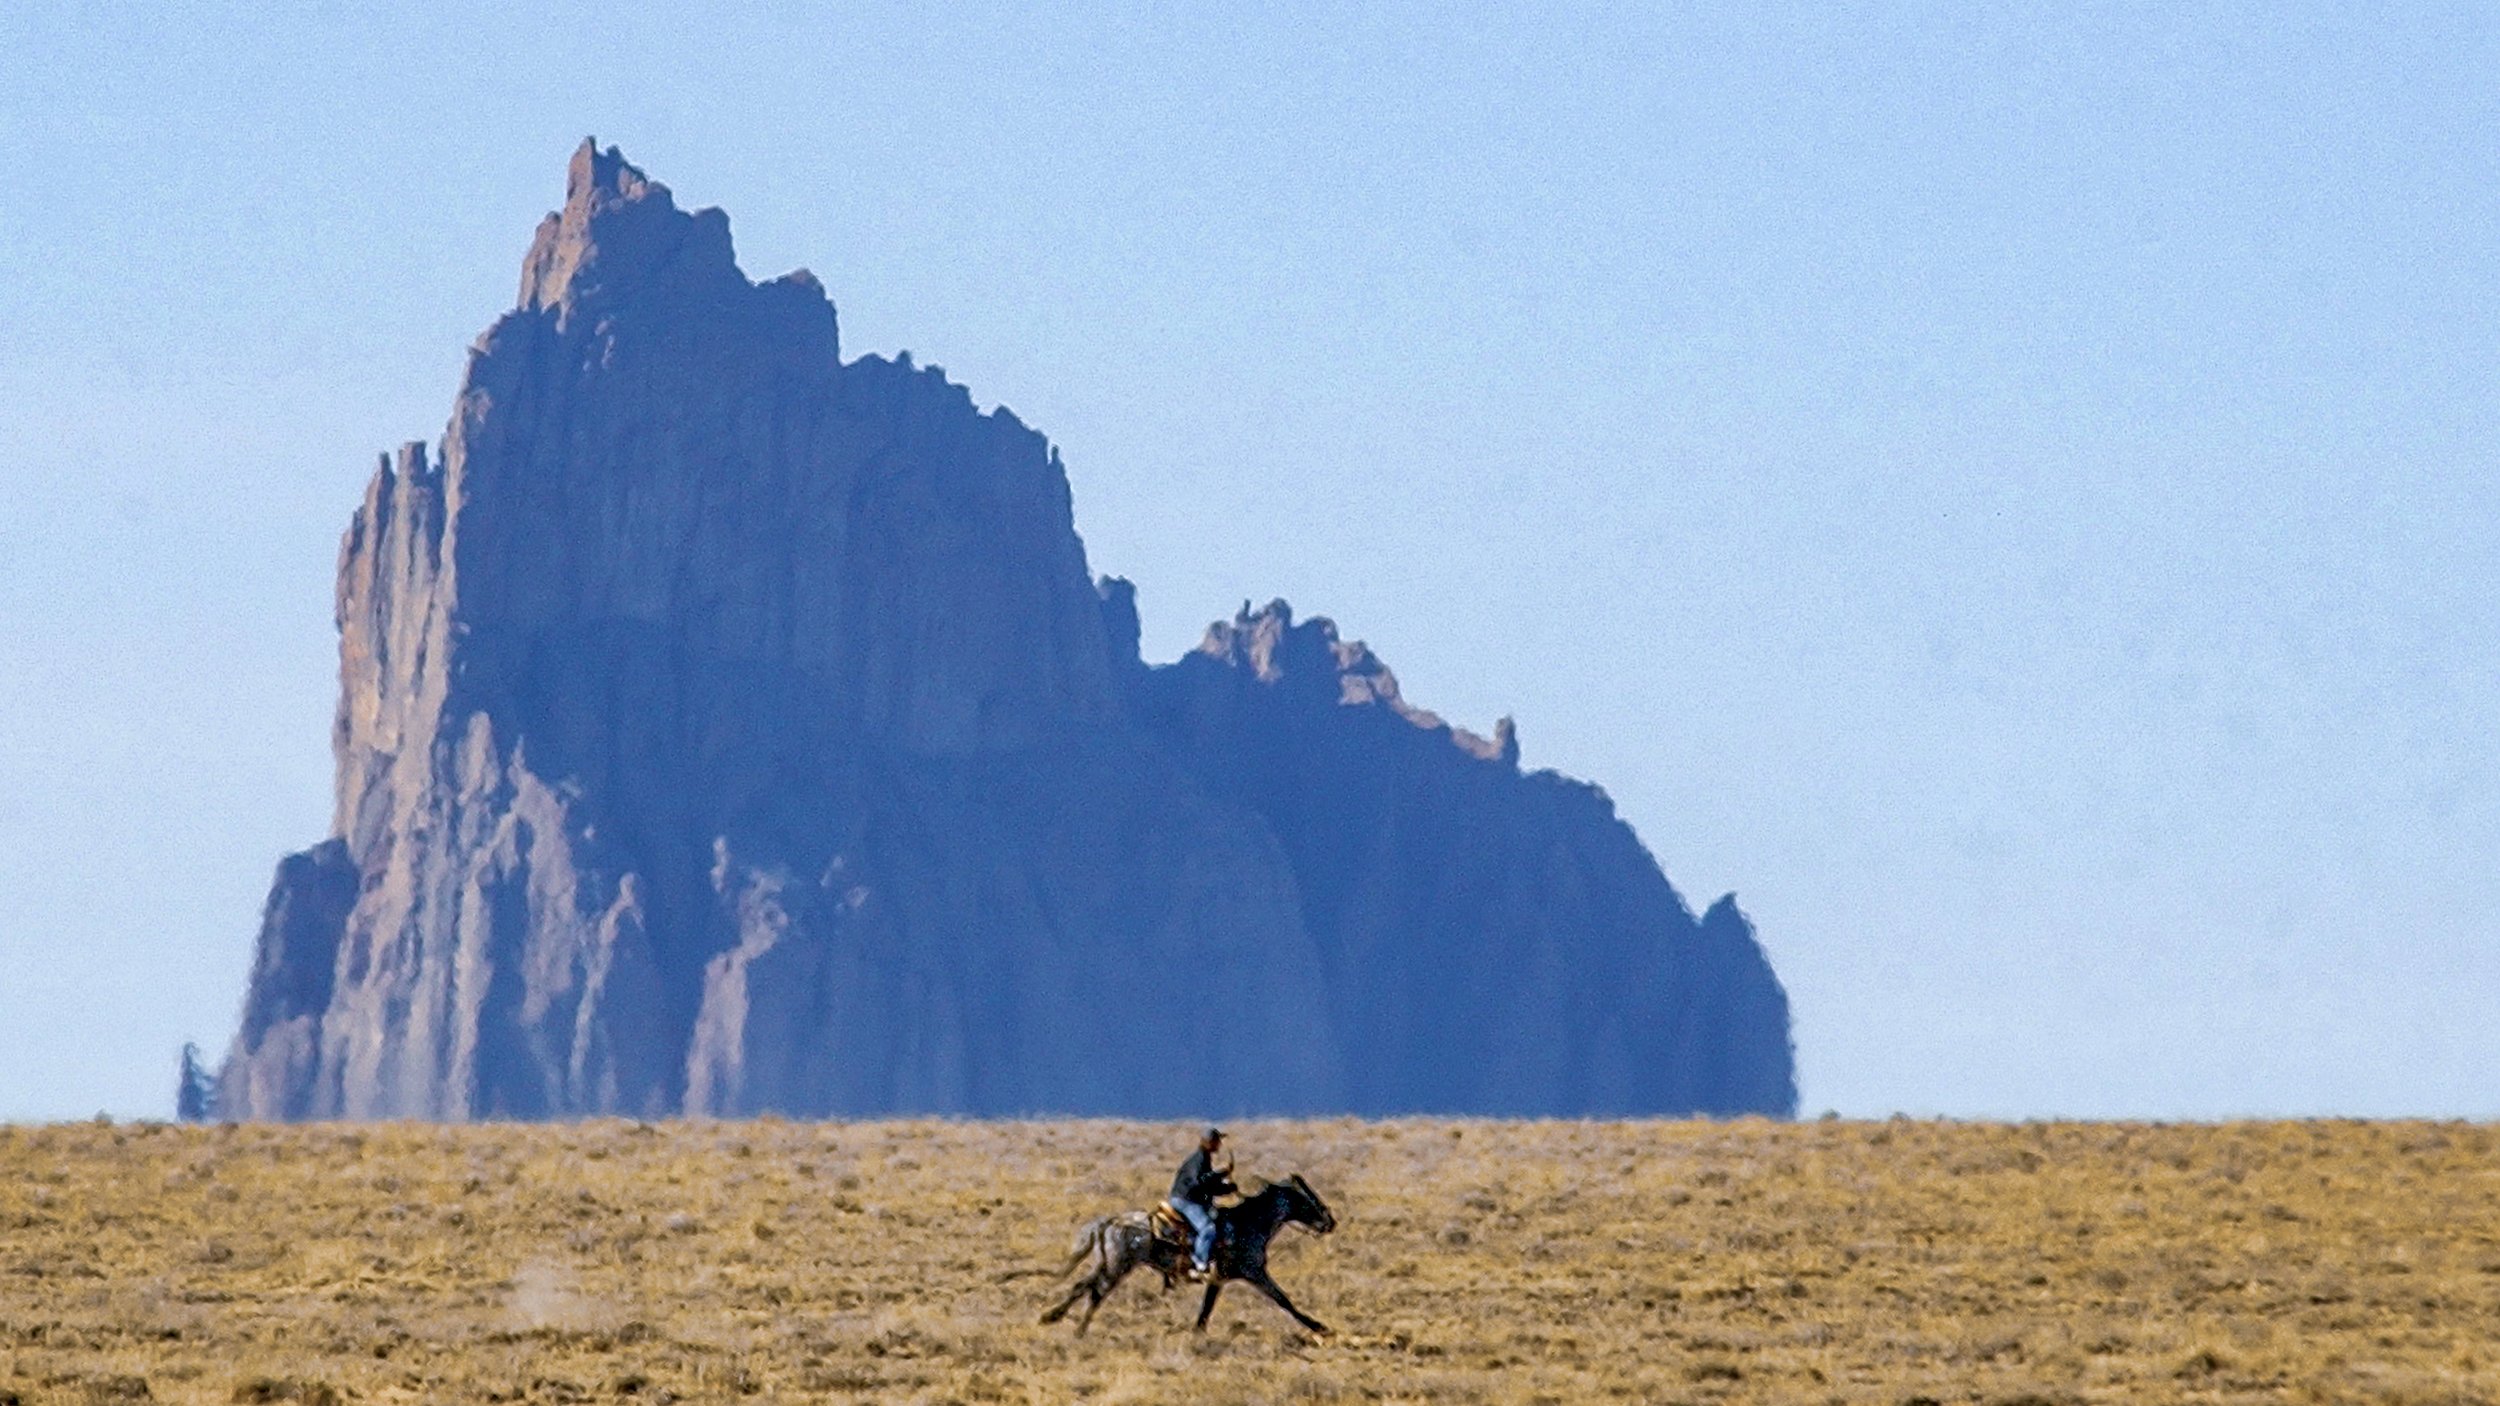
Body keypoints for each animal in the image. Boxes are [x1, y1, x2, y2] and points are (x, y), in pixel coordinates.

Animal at [1040, 1165, 1340, 1330]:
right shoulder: (1255, 1273)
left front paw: (1196, 1335)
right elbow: (1283, 1300)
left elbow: (1205, 1311)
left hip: (1107, 1263)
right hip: (1117, 1267)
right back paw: (1074, 1327)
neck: (1248, 1224)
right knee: (1095, 1292)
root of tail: (1111, 1221)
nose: (1330, 1222)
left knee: (1083, 1287)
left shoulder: (1217, 1280)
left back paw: (1054, 1318)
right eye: (1307, 1199)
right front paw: (1320, 1328)